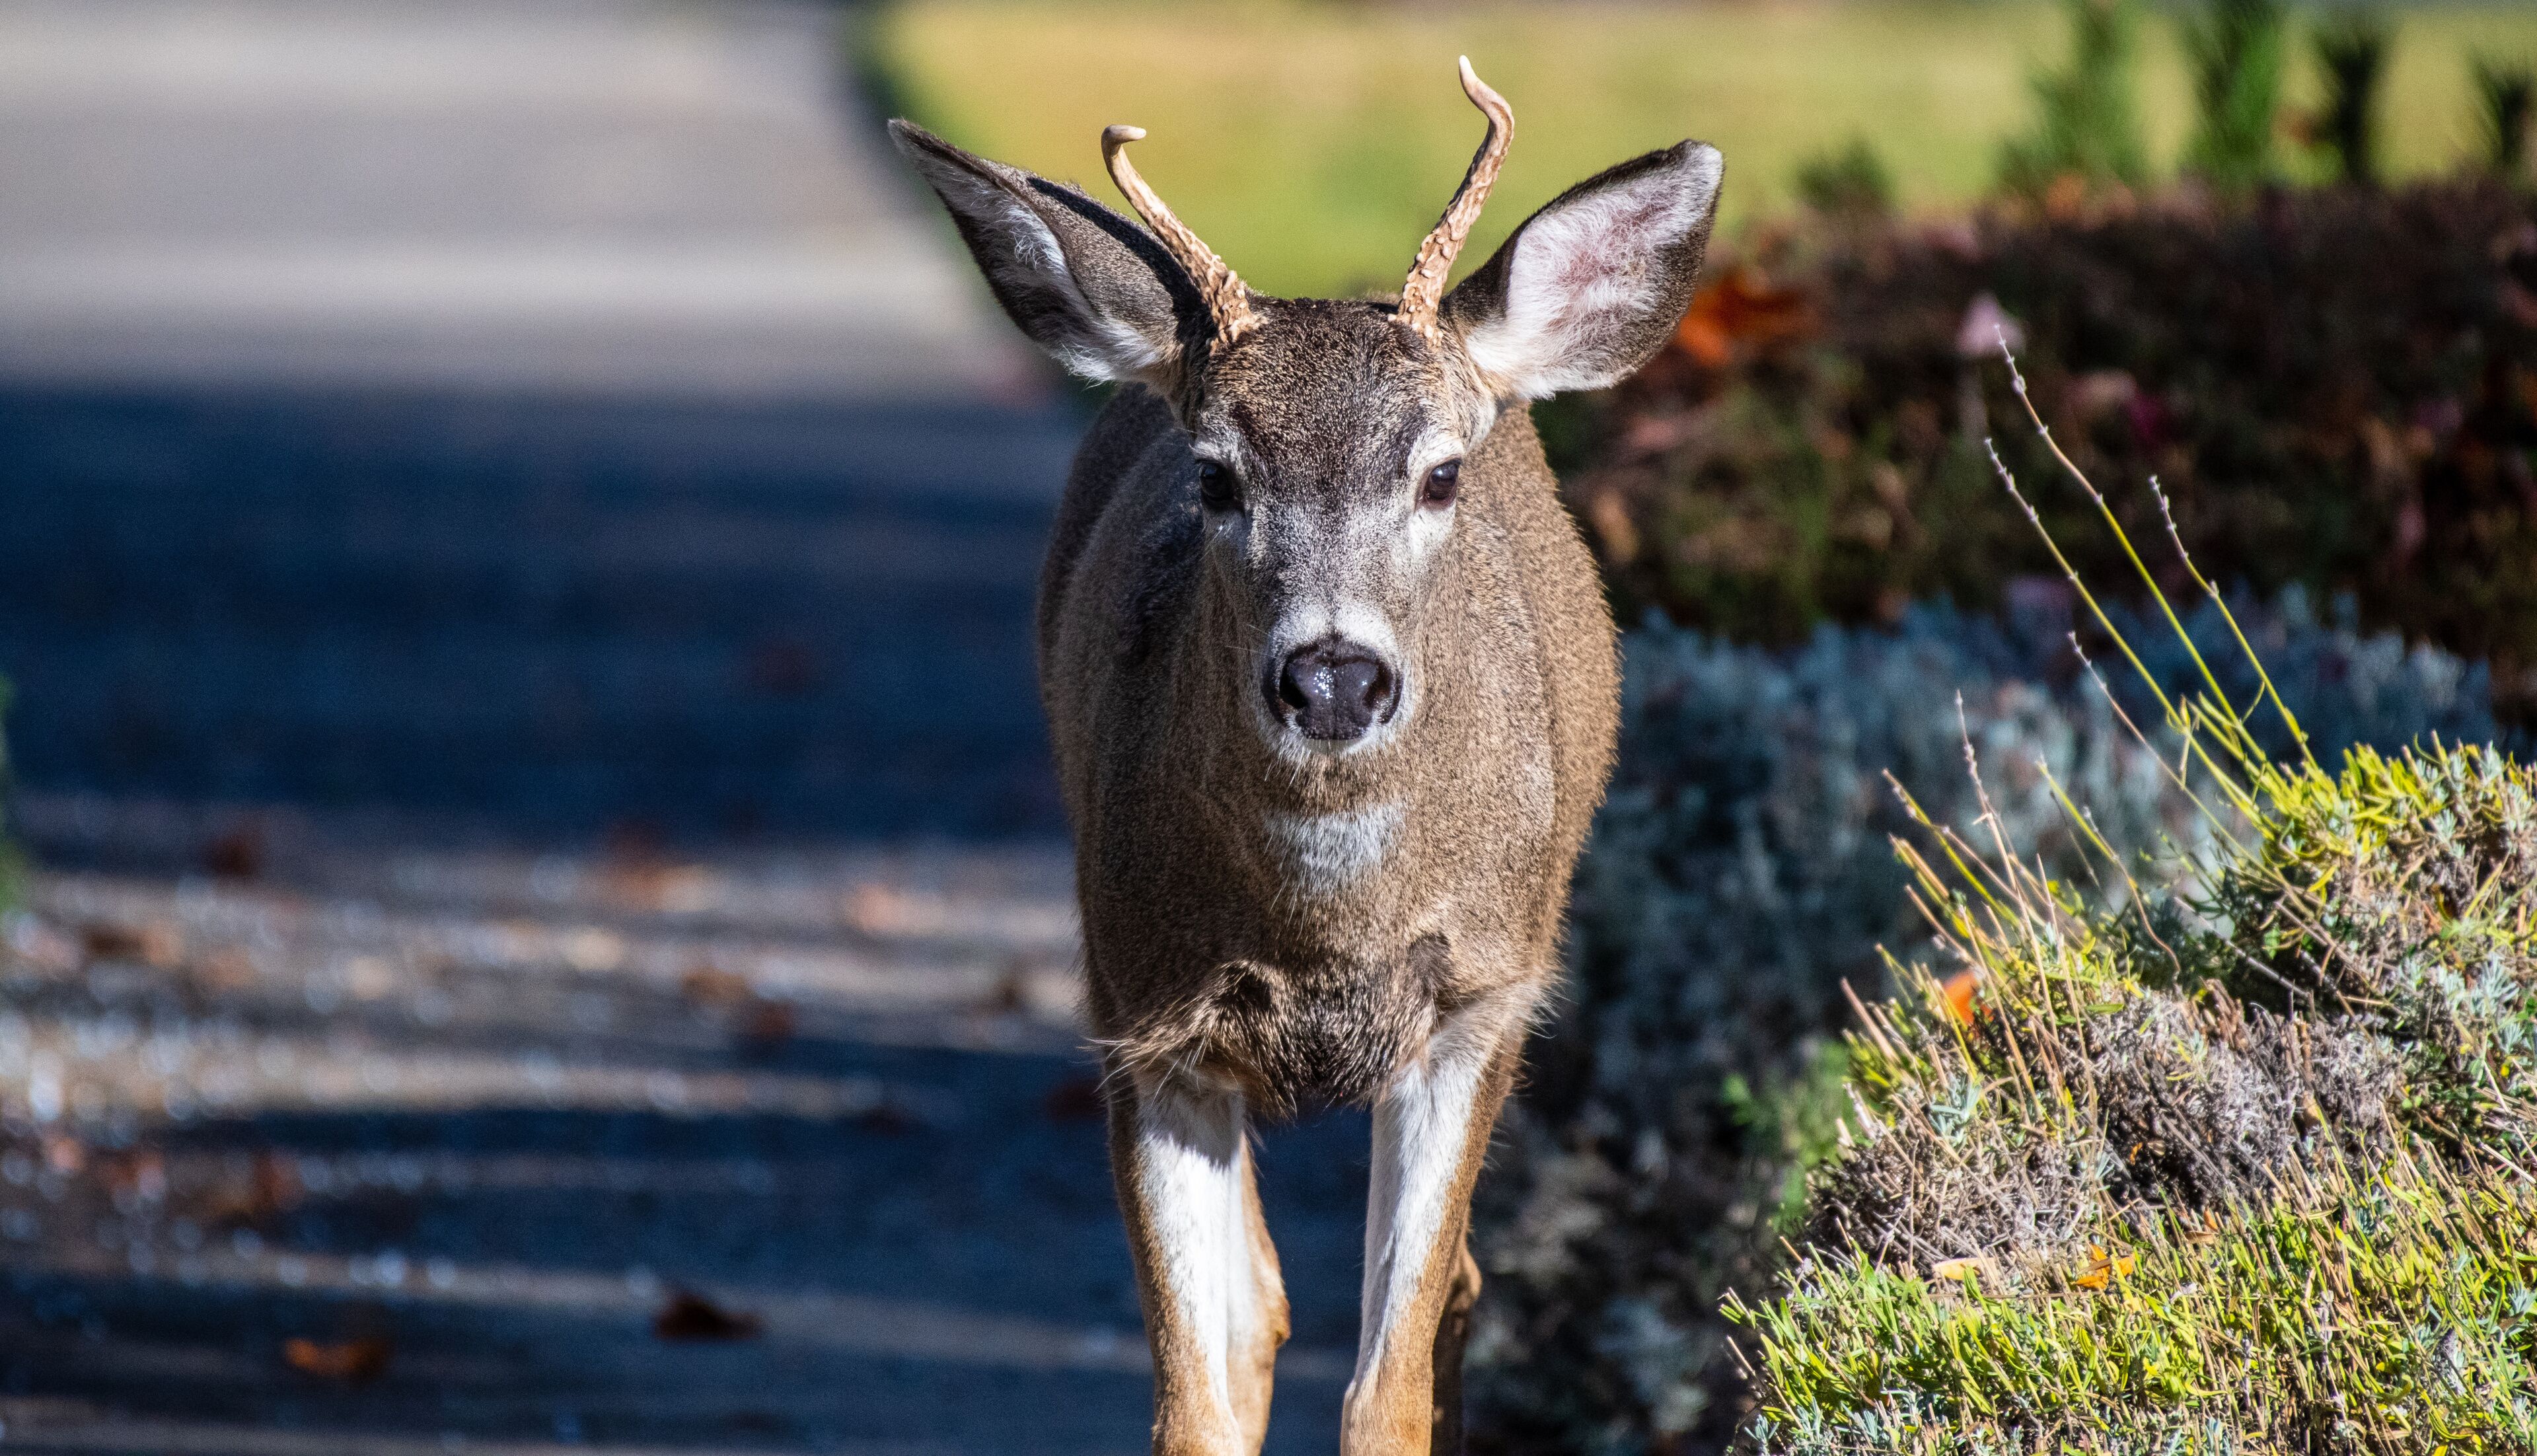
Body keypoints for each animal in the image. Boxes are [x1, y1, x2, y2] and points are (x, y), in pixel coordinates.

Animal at [890, 60, 1720, 1456]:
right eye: (1217, 478)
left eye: (1440, 475)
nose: (1335, 674)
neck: (1327, 930)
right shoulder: (1141, 1010)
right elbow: (1201, 1391)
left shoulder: (1481, 996)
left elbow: (1388, 1384)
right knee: (1269, 1303)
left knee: (1455, 1289)